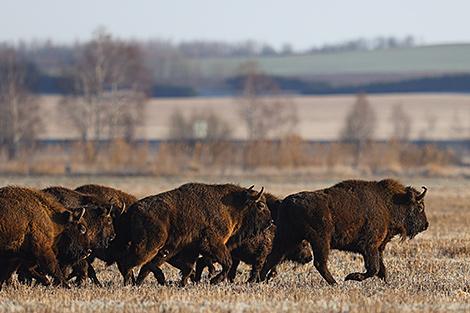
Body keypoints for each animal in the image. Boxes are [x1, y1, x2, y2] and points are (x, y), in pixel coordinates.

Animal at [113, 183, 272, 286]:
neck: (233, 207)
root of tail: (133, 209)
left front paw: (184, 284)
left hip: (162, 249)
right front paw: (213, 280)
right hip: (149, 246)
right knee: (130, 261)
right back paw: (129, 282)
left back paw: (138, 282)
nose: (270, 221)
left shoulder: (192, 249)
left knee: (144, 265)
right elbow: (227, 262)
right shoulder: (214, 243)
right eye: (260, 205)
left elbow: (189, 268)